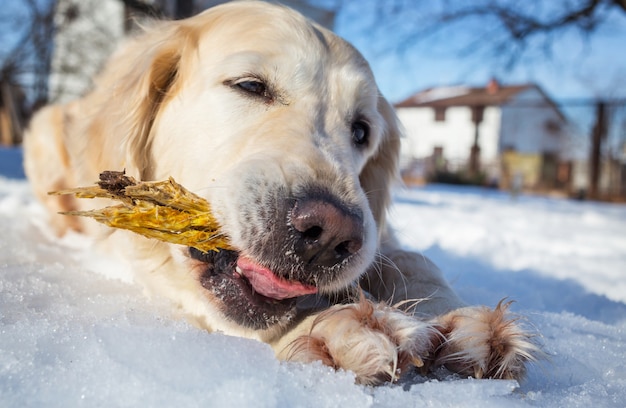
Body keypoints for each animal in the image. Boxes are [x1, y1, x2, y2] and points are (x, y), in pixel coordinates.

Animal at [22, 0, 532, 384]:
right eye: (250, 85)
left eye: (361, 131)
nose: (331, 235)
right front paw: (328, 326)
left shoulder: (381, 236)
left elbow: (411, 259)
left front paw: (461, 321)